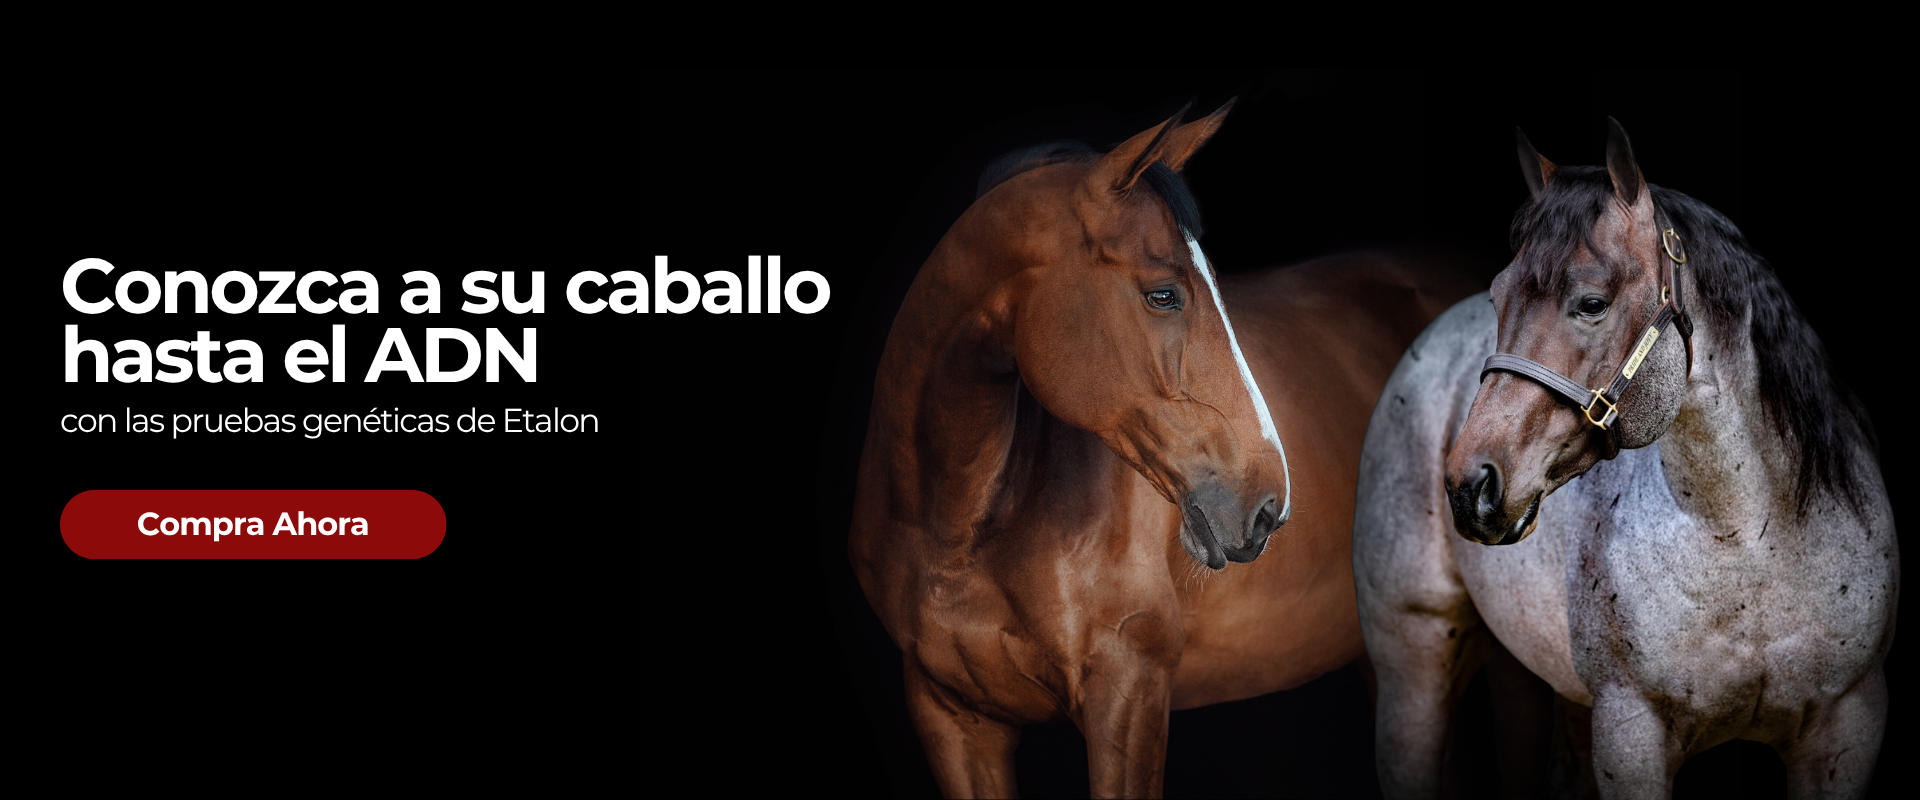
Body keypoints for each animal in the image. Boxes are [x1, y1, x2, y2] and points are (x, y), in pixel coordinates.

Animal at [1354, 118, 1898, 799]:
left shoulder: (1847, 728)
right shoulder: (1631, 732)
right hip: (1415, 660)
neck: (1750, 541)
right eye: (1499, 297)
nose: (1468, 486)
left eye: (1591, 302)